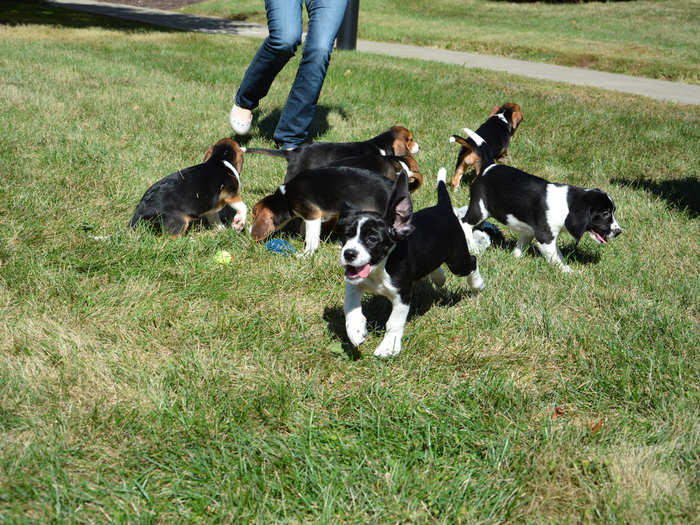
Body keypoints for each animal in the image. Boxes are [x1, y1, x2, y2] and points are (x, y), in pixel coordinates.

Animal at [340, 170, 486, 358]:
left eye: (372, 239)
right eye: (346, 235)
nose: (349, 253)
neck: (380, 268)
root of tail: (442, 208)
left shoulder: (402, 294)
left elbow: (394, 322)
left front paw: (389, 347)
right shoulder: (354, 283)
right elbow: (350, 306)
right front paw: (356, 330)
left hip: (457, 260)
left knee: (472, 262)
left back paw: (477, 285)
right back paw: (439, 277)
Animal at [454, 128, 624, 272]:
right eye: (605, 213)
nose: (619, 232)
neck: (567, 205)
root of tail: (489, 166)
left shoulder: (536, 232)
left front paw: (516, 258)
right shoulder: (545, 238)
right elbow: (558, 259)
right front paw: (570, 272)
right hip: (480, 209)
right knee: (465, 223)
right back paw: (474, 248)